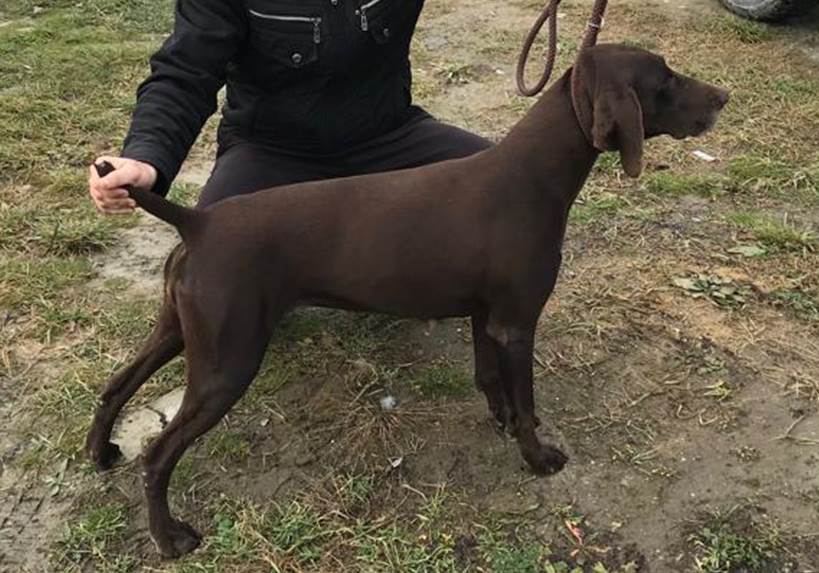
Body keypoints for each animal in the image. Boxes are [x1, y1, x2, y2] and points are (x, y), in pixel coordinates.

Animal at [86, 44, 728, 557]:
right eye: (665, 78)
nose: (723, 96)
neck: (533, 176)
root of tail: (198, 221)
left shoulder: (487, 317)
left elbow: (490, 380)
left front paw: (500, 421)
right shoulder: (518, 323)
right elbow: (525, 401)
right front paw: (538, 457)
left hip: (181, 332)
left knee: (115, 385)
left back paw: (101, 452)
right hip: (227, 361)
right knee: (158, 455)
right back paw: (170, 537)